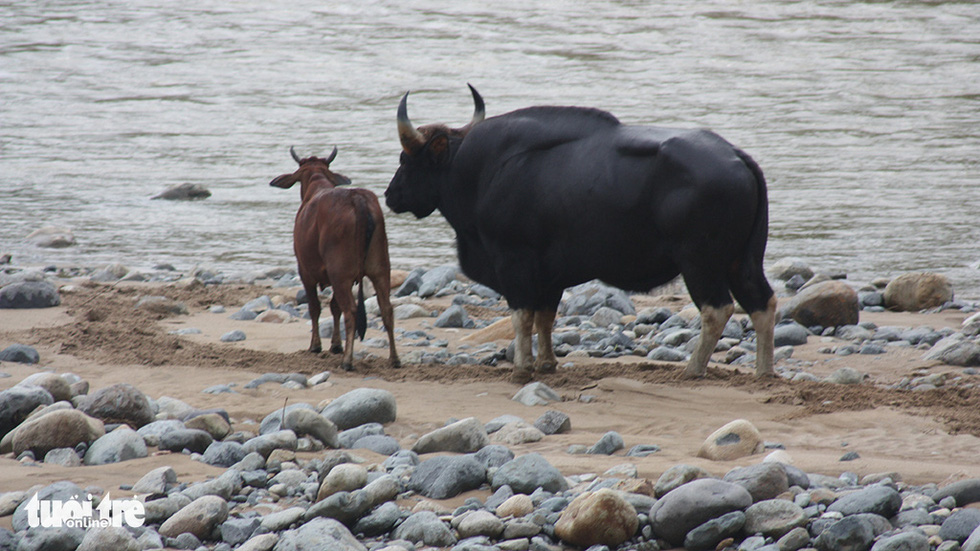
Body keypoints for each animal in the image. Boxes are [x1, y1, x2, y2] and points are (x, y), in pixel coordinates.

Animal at [268, 147, 398, 370]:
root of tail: (357, 198)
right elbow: (334, 307)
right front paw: (336, 345)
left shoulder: (305, 271)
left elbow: (315, 308)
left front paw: (316, 345)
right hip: (379, 268)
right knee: (387, 309)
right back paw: (394, 359)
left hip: (341, 274)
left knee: (351, 311)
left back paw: (347, 361)